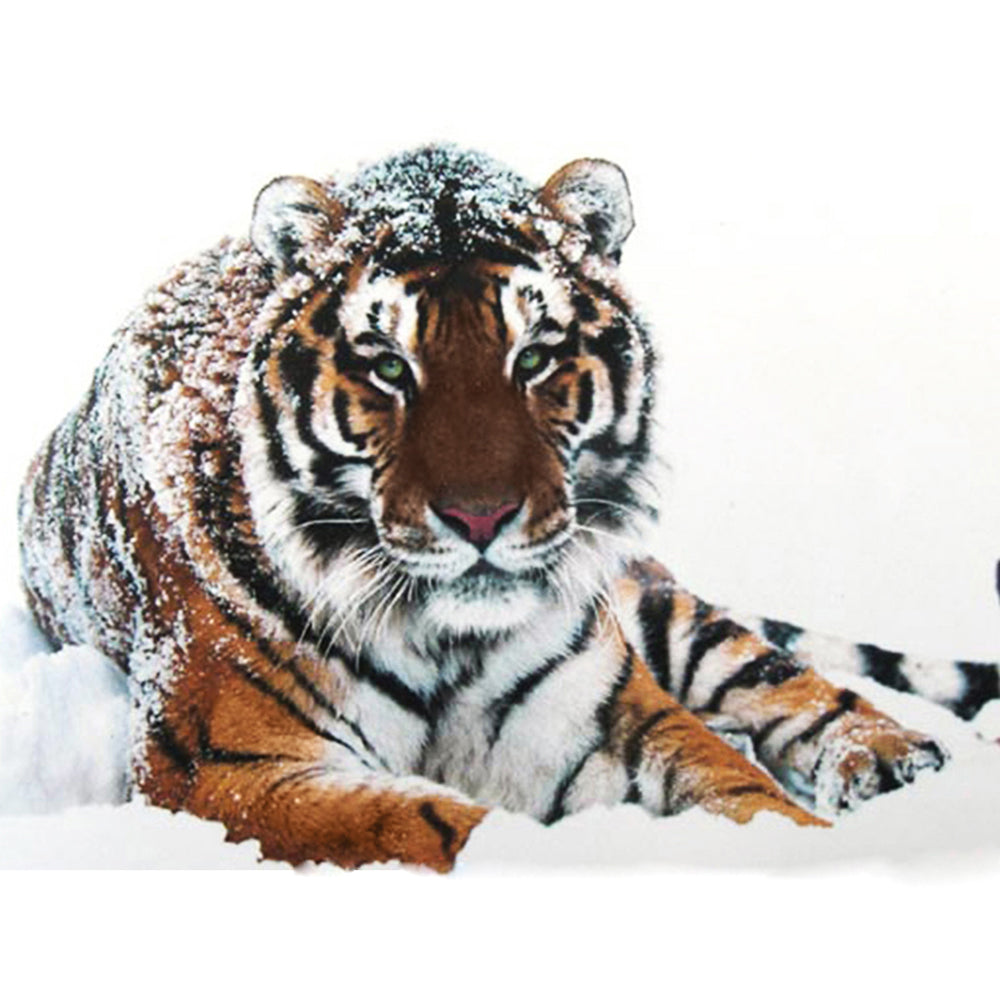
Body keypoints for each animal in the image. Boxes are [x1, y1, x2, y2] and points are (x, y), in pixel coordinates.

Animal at [18, 144, 992, 871]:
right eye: (388, 365)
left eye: (534, 357)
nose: (481, 519)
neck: (442, 640)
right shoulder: (226, 769)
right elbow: (436, 828)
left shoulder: (601, 720)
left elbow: (742, 794)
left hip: (656, 606)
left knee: (782, 678)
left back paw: (894, 759)